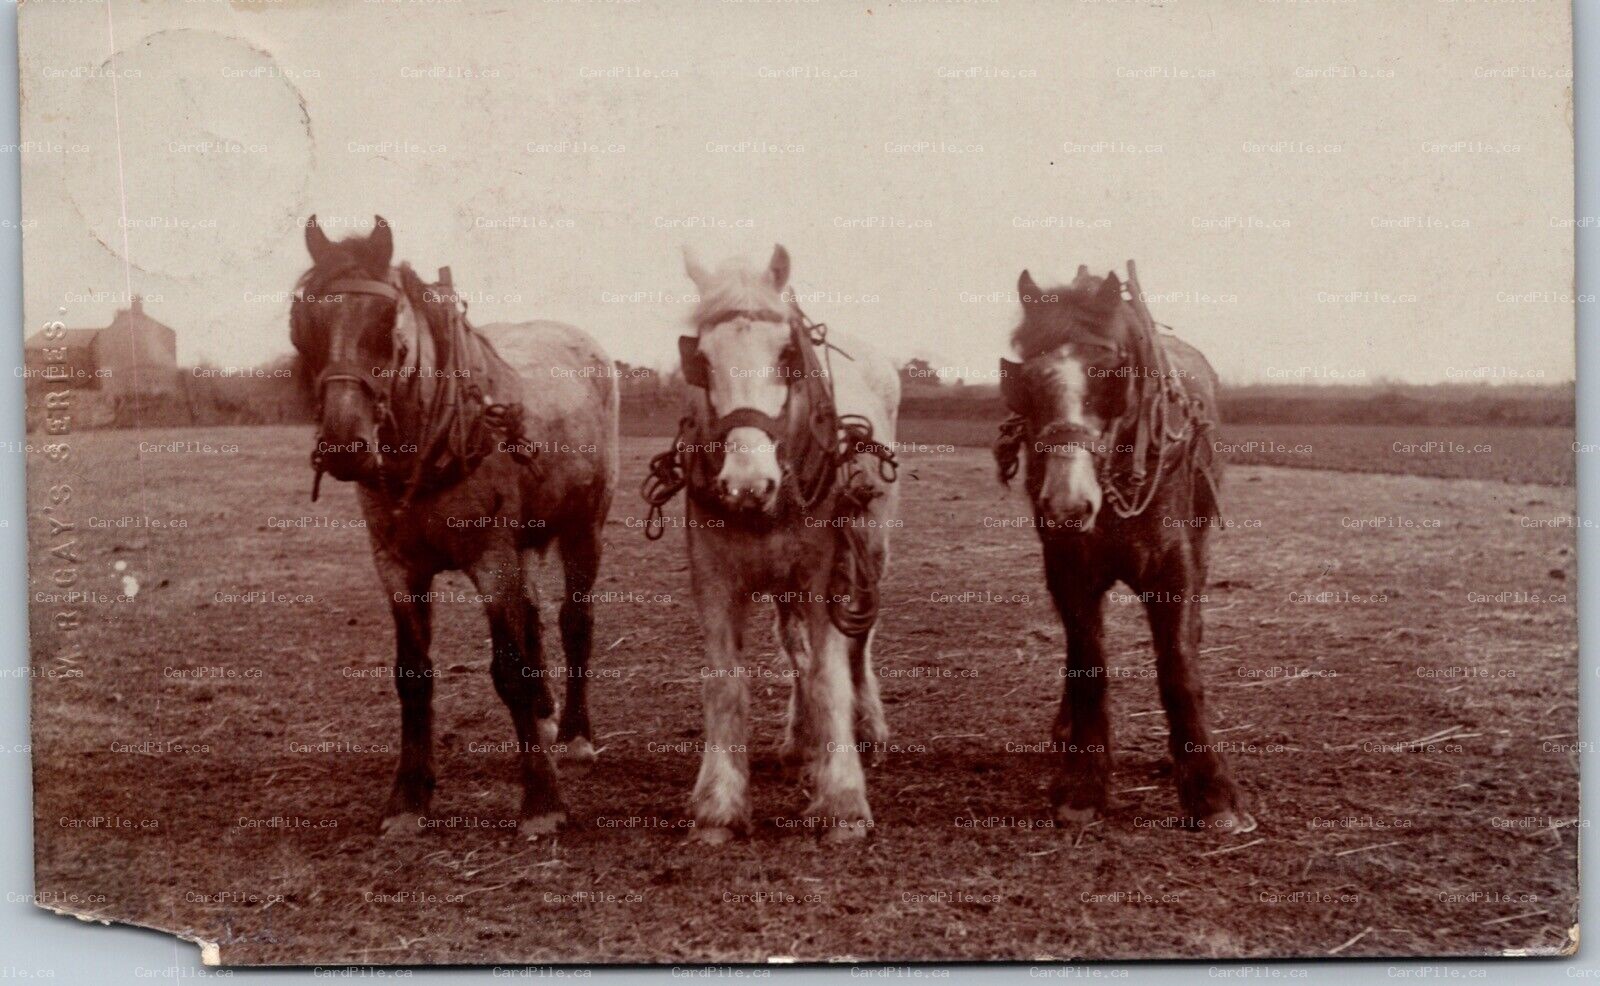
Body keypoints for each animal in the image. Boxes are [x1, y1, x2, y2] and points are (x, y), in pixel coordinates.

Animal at [289, 216, 619, 838]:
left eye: (386, 325)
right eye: (305, 325)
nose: (344, 446)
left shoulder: (491, 560)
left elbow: (508, 671)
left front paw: (542, 800)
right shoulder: (397, 568)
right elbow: (413, 675)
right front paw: (407, 798)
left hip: (583, 527)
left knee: (574, 622)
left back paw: (574, 734)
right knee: (535, 617)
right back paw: (546, 712)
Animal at [655, 244, 900, 844]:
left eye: (787, 354)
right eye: (702, 362)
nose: (749, 482)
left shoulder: (823, 577)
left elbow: (831, 676)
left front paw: (844, 803)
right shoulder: (714, 578)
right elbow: (726, 682)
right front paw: (718, 807)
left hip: (869, 553)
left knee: (858, 644)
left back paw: (867, 729)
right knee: (795, 650)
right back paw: (801, 742)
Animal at [994, 262, 1253, 834]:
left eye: (1111, 372)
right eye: (1026, 379)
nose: (1068, 504)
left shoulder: (1173, 571)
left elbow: (1177, 666)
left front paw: (1212, 791)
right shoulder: (1067, 568)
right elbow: (1087, 664)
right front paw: (1083, 784)